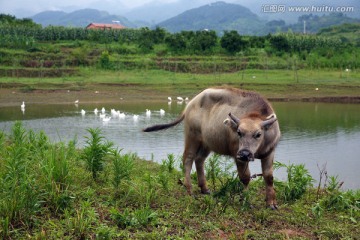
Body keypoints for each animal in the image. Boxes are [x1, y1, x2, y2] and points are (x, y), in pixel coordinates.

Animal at [143, 87, 282, 209]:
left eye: (258, 134)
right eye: (239, 132)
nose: (244, 154)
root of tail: (191, 103)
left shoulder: (269, 152)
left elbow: (269, 177)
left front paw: (271, 203)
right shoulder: (237, 156)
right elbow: (245, 177)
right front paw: (246, 201)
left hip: (206, 143)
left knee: (199, 160)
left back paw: (204, 188)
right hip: (192, 136)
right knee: (188, 159)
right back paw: (189, 190)